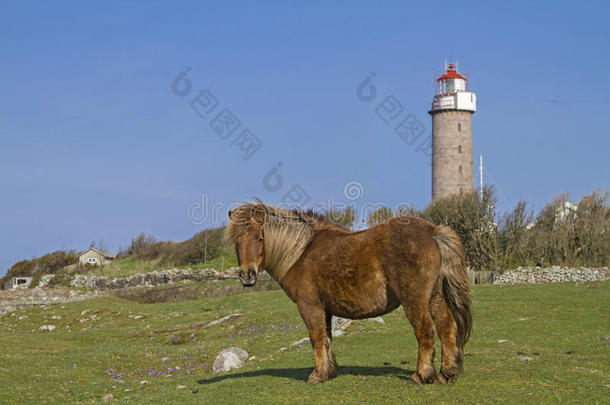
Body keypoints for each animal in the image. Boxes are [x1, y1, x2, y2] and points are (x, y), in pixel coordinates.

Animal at [226, 200, 472, 384]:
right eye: (236, 241)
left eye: (260, 237)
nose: (247, 275)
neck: (300, 252)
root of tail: (433, 231)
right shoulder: (324, 310)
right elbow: (326, 338)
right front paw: (329, 372)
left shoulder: (309, 307)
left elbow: (316, 338)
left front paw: (317, 375)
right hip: (436, 298)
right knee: (446, 328)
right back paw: (447, 373)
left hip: (415, 300)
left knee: (425, 332)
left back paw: (422, 375)